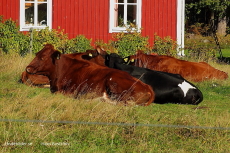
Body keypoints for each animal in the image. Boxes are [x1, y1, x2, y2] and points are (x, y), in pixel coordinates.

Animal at [24, 44, 155, 105]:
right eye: (37, 54)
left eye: (42, 57)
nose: (28, 68)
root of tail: (147, 86)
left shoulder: (69, 91)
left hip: (114, 82)